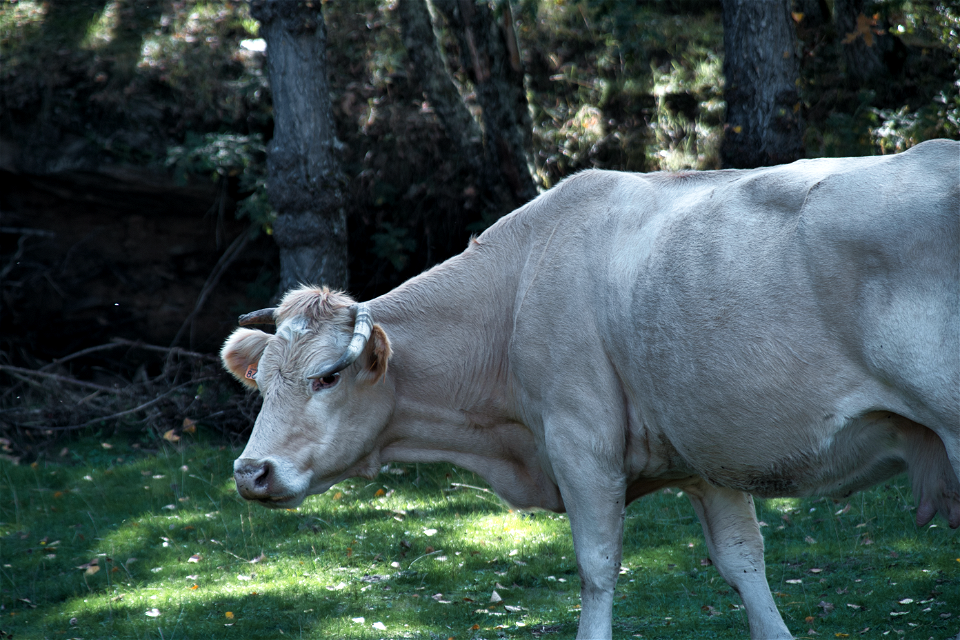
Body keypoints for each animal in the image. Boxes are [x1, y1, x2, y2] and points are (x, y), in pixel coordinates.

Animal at [221, 138, 956, 636]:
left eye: (328, 376)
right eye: (265, 384)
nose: (251, 472)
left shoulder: (582, 445)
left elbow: (597, 569)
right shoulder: (705, 456)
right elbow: (746, 565)